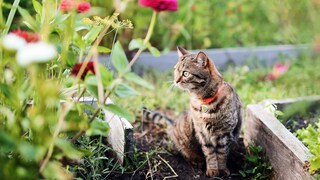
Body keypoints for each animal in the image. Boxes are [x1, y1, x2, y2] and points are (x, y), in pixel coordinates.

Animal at [144, 46, 241, 177]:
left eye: (185, 73)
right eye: (176, 70)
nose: (176, 80)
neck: (206, 102)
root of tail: (173, 123)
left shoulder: (224, 133)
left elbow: (222, 154)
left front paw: (222, 170)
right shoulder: (203, 133)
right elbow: (210, 154)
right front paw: (212, 170)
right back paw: (196, 160)